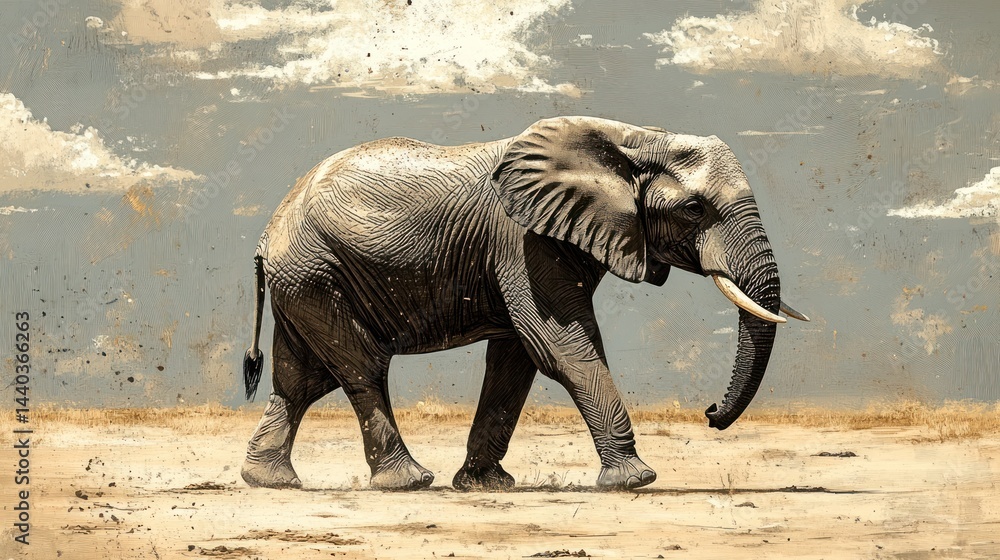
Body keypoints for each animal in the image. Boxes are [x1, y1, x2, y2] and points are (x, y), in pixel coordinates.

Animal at [239, 116, 808, 492]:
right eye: (694, 208)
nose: (709, 413)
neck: (630, 138)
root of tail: (266, 237)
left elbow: (516, 359)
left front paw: (487, 485)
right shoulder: (521, 240)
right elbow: (560, 345)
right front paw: (634, 481)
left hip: (304, 283)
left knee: (301, 380)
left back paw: (271, 482)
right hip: (317, 272)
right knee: (361, 368)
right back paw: (408, 482)